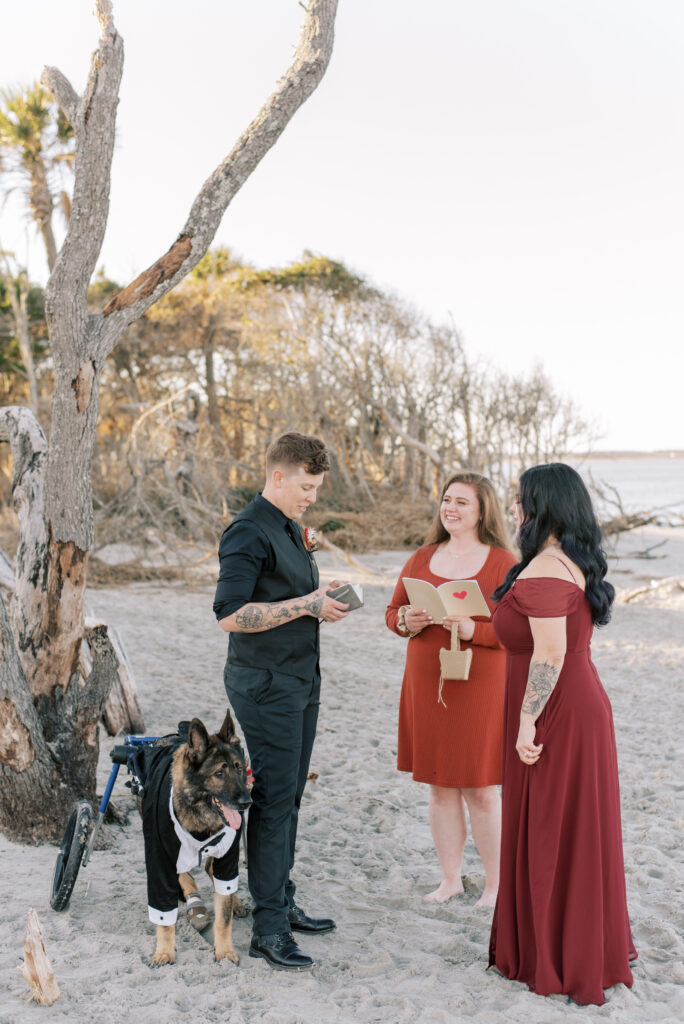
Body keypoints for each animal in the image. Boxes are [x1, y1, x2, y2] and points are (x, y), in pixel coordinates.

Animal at [141, 708, 250, 962]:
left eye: (239, 768)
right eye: (219, 773)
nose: (247, 802)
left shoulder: (227, 855)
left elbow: (224, 915)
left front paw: (225, 951)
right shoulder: (159, 859)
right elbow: (164, 917)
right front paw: (164, 951)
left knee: (215, 874)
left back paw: (234, 900)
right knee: (185, 874)